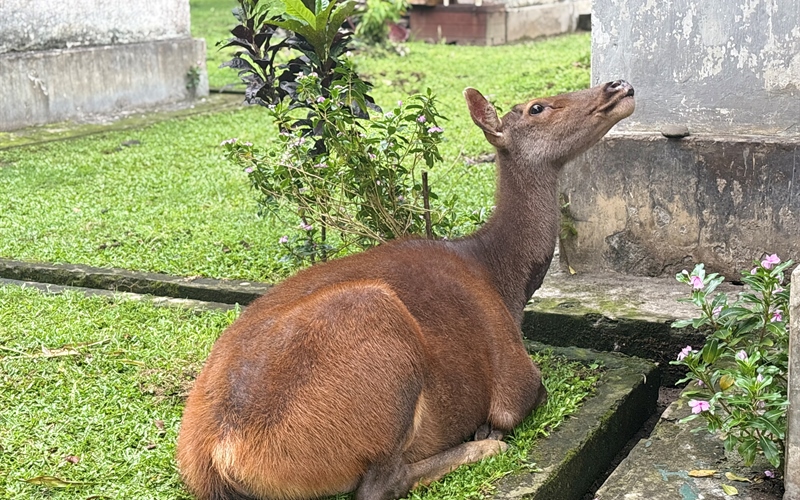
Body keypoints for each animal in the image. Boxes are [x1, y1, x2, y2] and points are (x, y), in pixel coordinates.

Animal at [177, 80, 635, 500]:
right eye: (537, 107)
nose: (618, 85)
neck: (505, 282)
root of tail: (220, 455)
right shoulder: (514, 377)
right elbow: (527, 399)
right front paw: (486, 431)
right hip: (375, 323)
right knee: (381, 483)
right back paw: (484, 447)